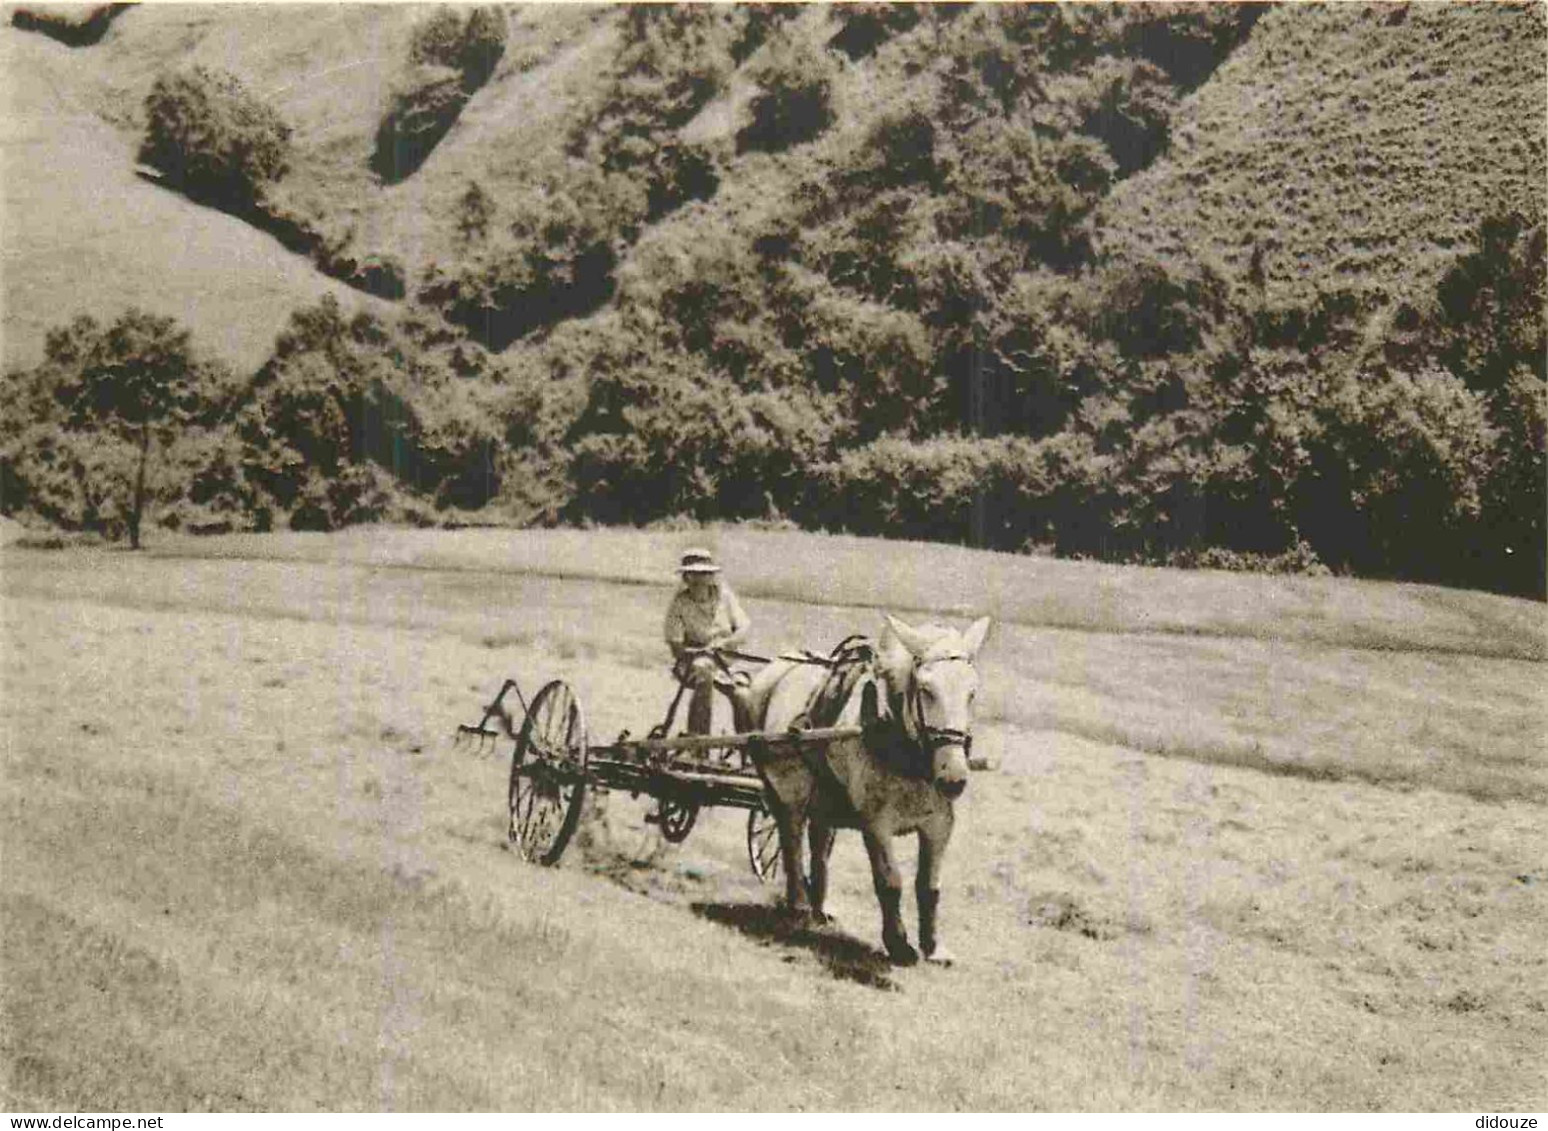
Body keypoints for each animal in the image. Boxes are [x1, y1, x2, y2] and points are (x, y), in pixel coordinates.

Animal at [746, 615, 990, 971]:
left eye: (972, 693)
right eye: (926, 691)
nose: (953, 779)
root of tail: (777, 668)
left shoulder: (940, 824)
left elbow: (929, 886)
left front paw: (933, 947)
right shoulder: (876, 824)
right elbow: (890, 881)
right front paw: (899, 945)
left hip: (824, 799)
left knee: (819, 846)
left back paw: (821, 906)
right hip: (787, 794)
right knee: (791, 843)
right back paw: (800, 905)